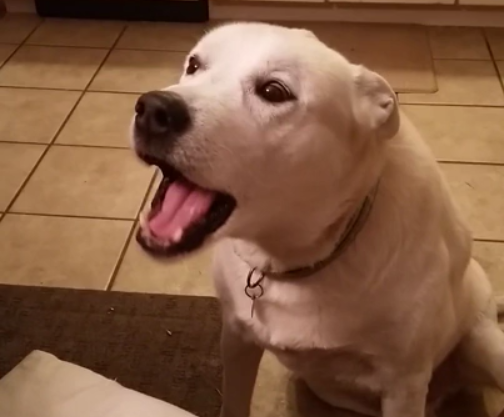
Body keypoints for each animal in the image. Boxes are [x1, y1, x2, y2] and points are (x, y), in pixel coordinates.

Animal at [131, 22, 504, 417]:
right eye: (194, 65)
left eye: (273, 91)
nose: (153, 109)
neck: (291, 260)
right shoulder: (236, 339)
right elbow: (234, 401)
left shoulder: (404, 384)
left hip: (486, 347)